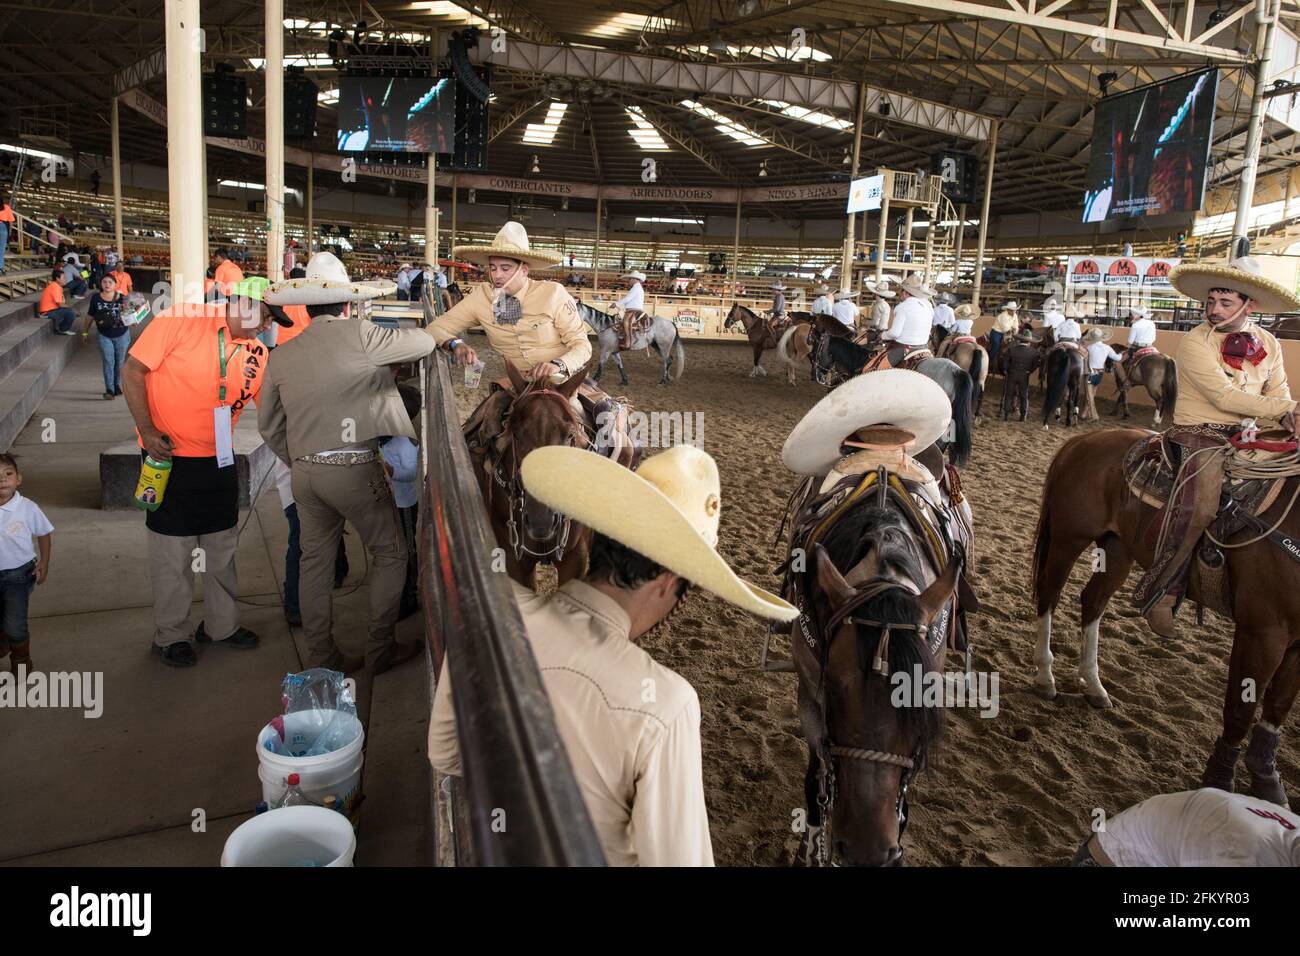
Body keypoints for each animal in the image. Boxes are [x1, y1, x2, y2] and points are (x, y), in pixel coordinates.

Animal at [1034, 429, 1300, 806]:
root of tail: (1086, 437)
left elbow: (1277, 706)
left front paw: (1267, 783)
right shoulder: (1262, 632)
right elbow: (1240, 709)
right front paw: (1219, 783)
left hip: (1118, 547)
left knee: (1093, 602)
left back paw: (1095, 685)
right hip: (1068, 539)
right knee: (1049, 596)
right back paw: (1045, 676)